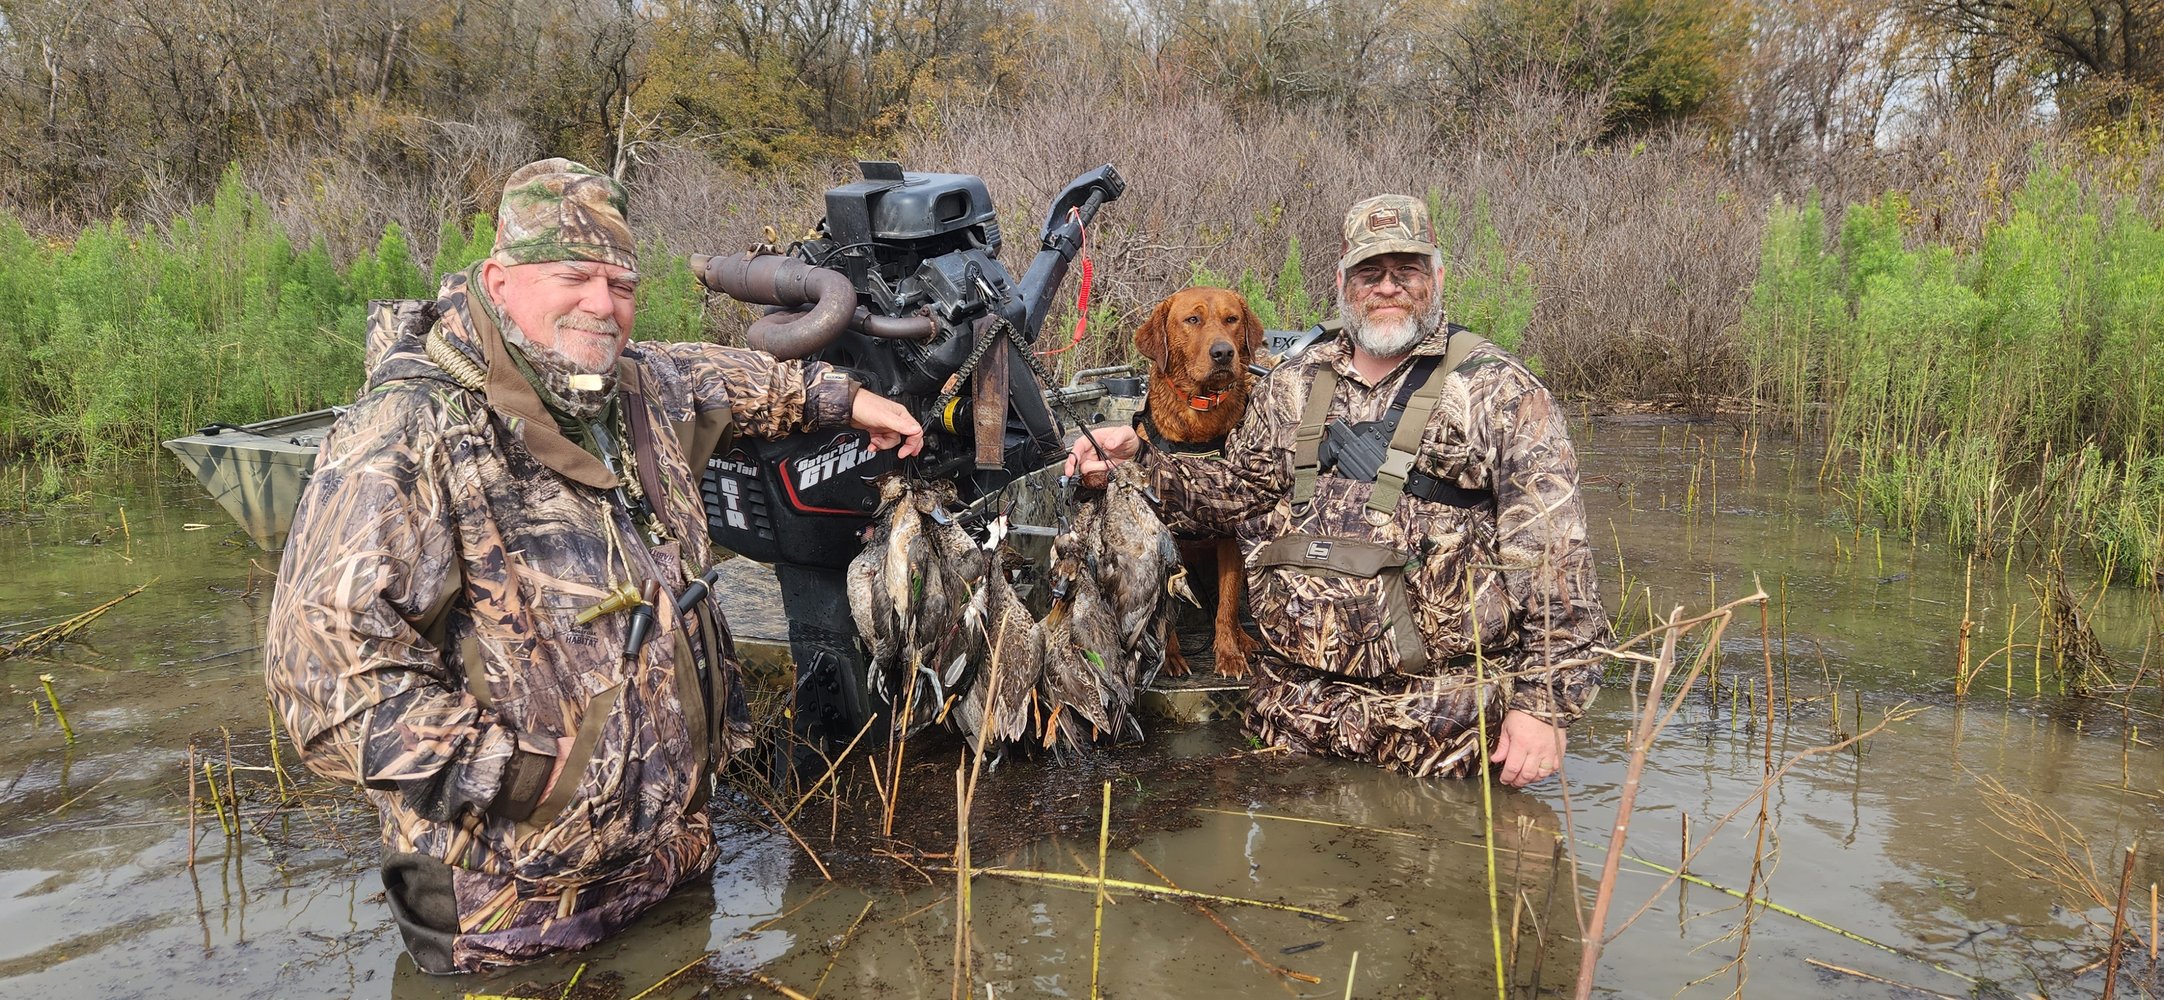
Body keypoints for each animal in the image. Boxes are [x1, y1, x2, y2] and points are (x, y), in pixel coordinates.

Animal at [1133, 290, 1263, 679]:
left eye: (1232, 319)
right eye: (1192, 320)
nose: (1223, 353)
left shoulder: (1230, 536)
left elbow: (1227, 604)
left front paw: (1229, 654)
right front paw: (1171, 657)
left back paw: (1244, 641)